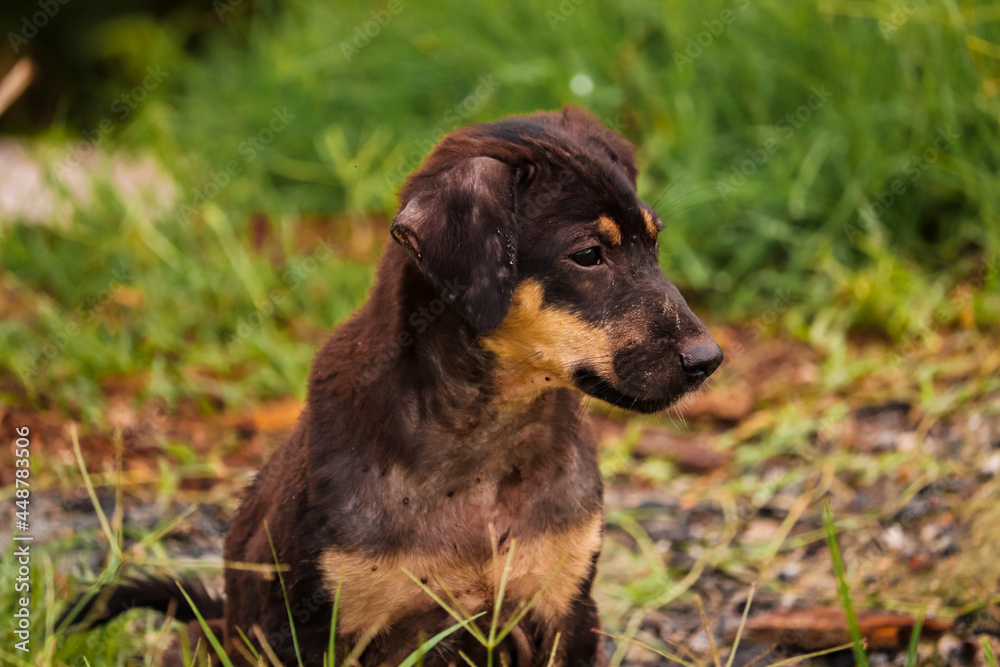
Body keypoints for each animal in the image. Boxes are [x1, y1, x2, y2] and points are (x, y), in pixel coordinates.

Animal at [60, 107, 720, 664]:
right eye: (587, 255)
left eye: (654, 243)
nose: (709, 360)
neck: (484, 440)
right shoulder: (319, 629)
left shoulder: (565, 611)